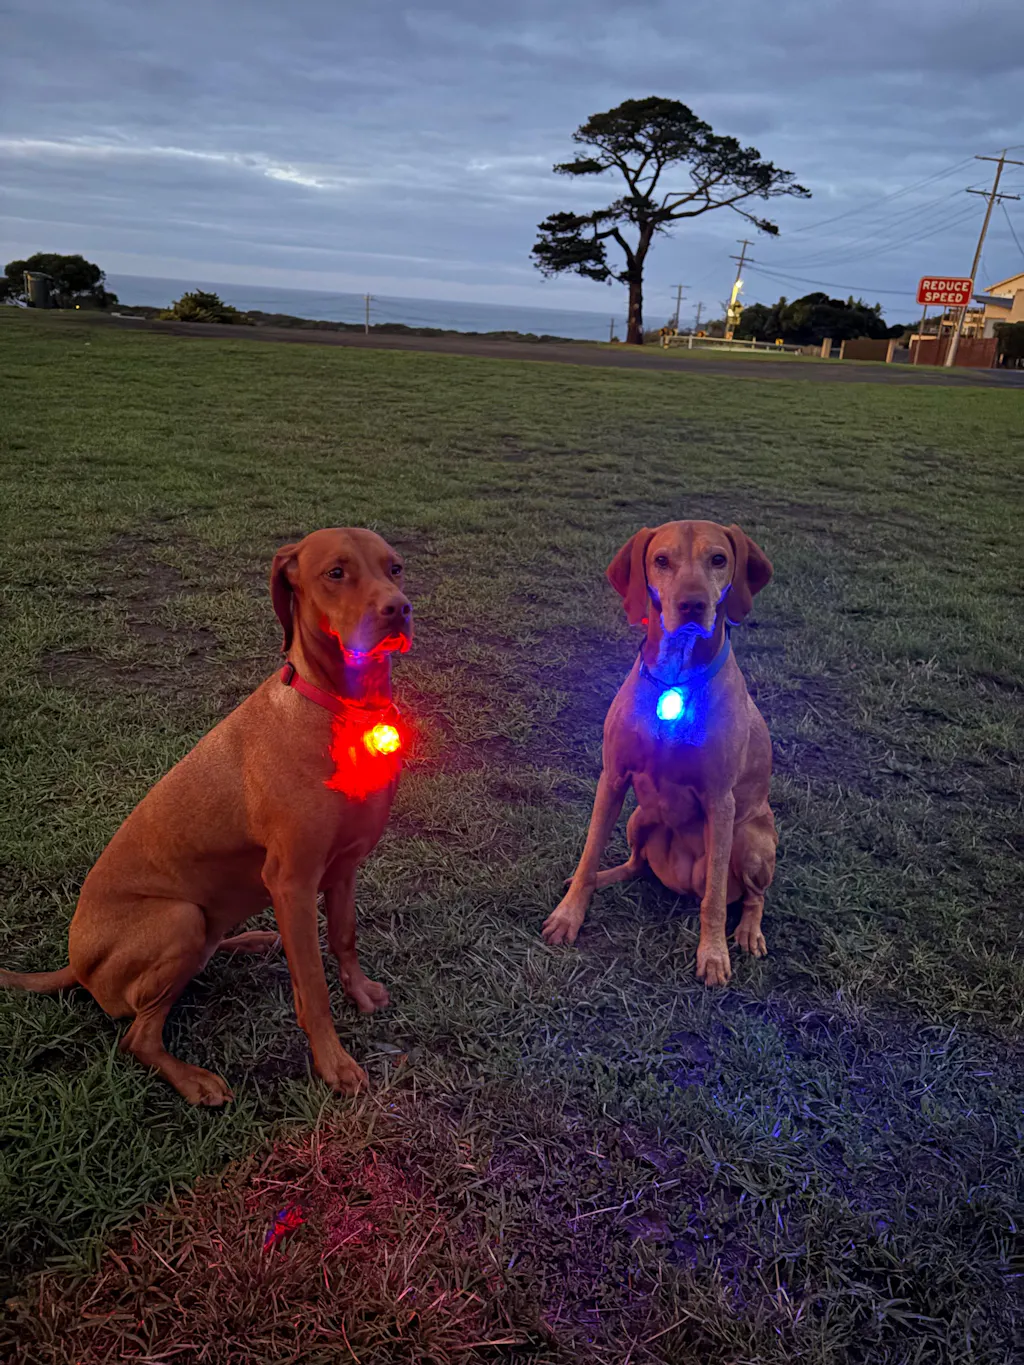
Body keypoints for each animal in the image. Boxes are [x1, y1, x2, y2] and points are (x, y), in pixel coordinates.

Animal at [0, 528, 412, 1104]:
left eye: (394, 568)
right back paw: (194, 1079)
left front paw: (360, 991)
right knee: (137, 1036)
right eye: (336, 573)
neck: (340, 708)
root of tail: (76, 966)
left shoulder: (345, 865)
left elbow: (345, 936)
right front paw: (334, 1064)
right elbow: (311, 986)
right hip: (180, 918)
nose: (399, 608)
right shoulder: (292, 880)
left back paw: (251, 941)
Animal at [542, 521, 777, 986]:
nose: (692, 604)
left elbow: (714, 898)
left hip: (750, 839)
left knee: (750, 896)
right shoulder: (613, 778)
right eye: (661, 560)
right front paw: (568, 915)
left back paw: (747, 932)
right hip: (640, 816)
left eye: (718, 559)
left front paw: (713, 954)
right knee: (635, 863)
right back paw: (603, 878)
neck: (675, 677)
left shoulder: (720, 801)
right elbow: (590, 851)